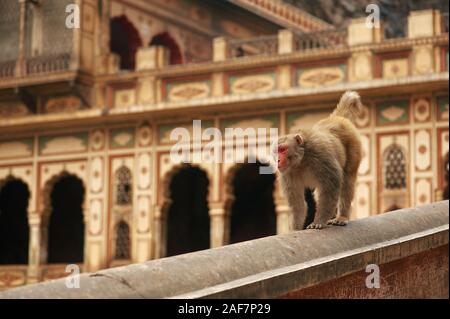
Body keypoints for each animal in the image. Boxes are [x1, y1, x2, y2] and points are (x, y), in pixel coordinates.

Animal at [276, 92, 364, 230]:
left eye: (283, 149)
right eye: (277, 150)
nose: (278, 160)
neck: (301, 162)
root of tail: (336, 118)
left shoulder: (321, 156)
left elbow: (331, 186)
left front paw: (318, 221)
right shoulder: (287, 173)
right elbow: (297, 203)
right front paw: (295, 228)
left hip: (354, 146)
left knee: (347, 181)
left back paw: (341, 217)